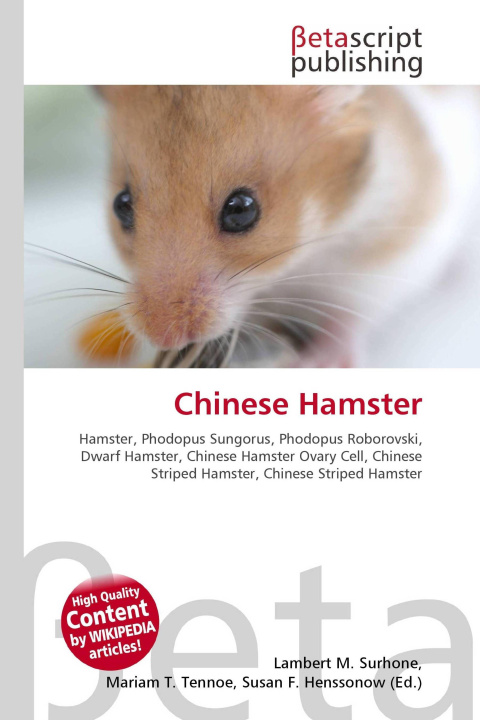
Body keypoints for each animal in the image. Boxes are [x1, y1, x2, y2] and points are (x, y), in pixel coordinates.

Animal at [97, 85, 480, 367]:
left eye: (241, 210)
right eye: (121, 205)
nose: (163, 336)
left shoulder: (395, 250)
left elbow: (351, 315)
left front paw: (313, 362)